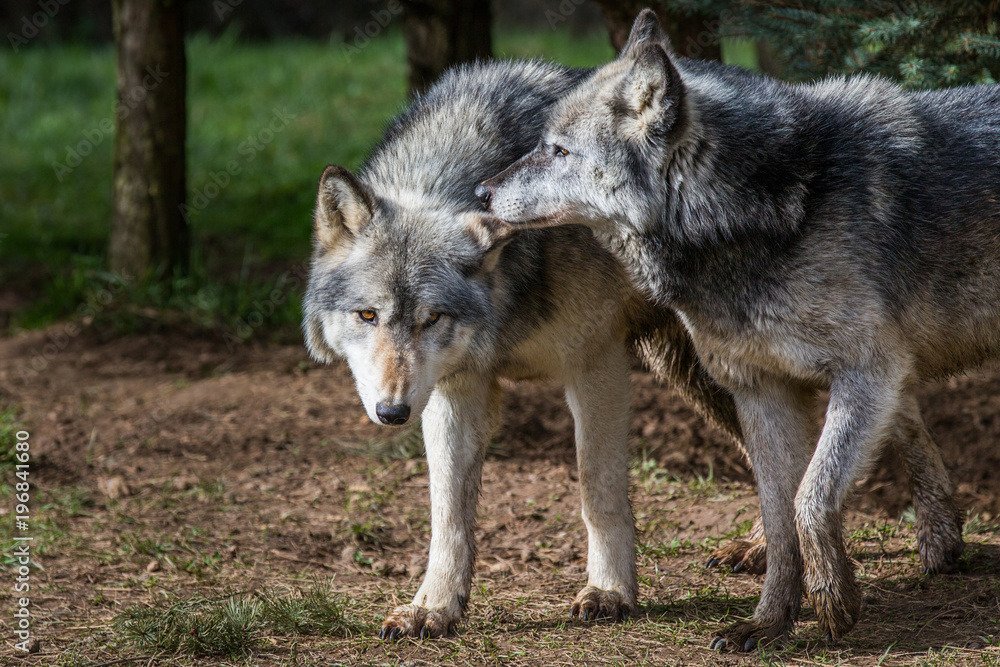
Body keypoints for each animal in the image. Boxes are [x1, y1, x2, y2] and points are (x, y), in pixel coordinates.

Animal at [479, 10, 995, 648]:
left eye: (558, 150)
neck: (776, 203)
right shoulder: (761, 388)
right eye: (543, 144)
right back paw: (941, 541)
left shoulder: (867, 375)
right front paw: (768, 622)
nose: (481, 192)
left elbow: (809, 498)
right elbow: (779, 515)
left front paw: (831, 599)